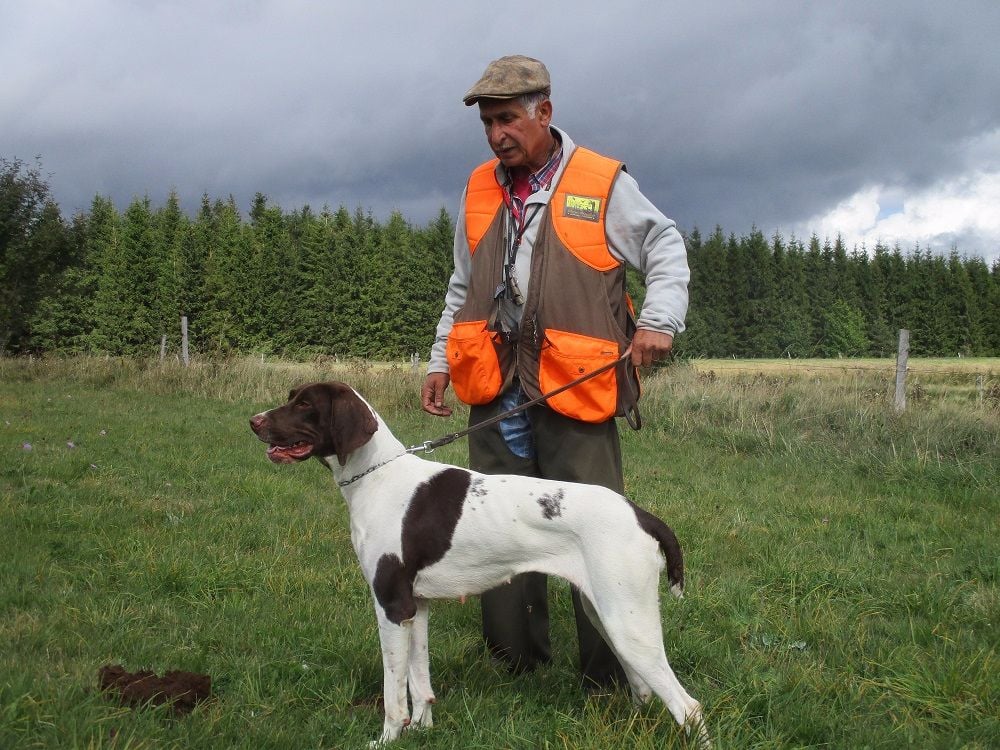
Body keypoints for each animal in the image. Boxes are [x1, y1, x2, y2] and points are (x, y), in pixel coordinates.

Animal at [248, 384, 704, 748]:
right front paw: (422, 731)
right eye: (291, 397)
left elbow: (394, 693)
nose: (253, 422)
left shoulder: (392, 607)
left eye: (305, 404)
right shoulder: (416, 607)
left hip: (627, 624)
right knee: (645, 690)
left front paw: (387, 739)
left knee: (689, 706)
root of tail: (641, 514)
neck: (377, 477)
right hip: (608, 616)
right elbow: (421, 683)